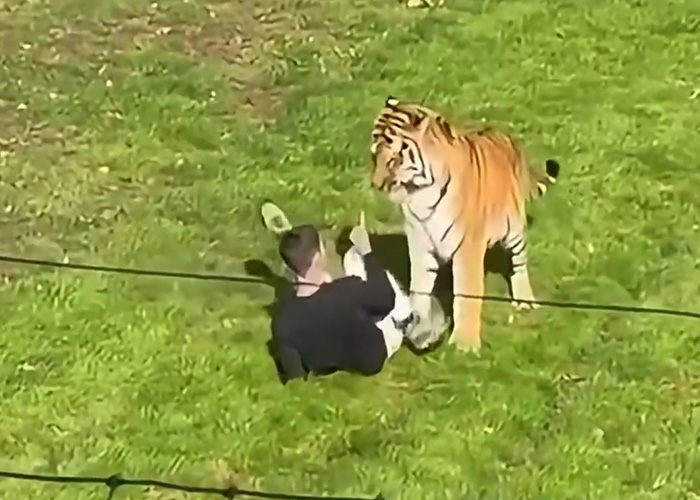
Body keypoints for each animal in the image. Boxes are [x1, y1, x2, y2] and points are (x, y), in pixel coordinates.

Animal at [369, 96, 561, 354]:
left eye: (394, 159)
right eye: (374, 156)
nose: (376, 184)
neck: (420, 194)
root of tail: (509, 139)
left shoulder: (467, 247)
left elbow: (466, 294)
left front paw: (464, 345)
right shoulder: (420, 245)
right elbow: (419, 289)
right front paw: (421, 331)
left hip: (515, 231)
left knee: (519, 265)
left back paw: (524, 301)